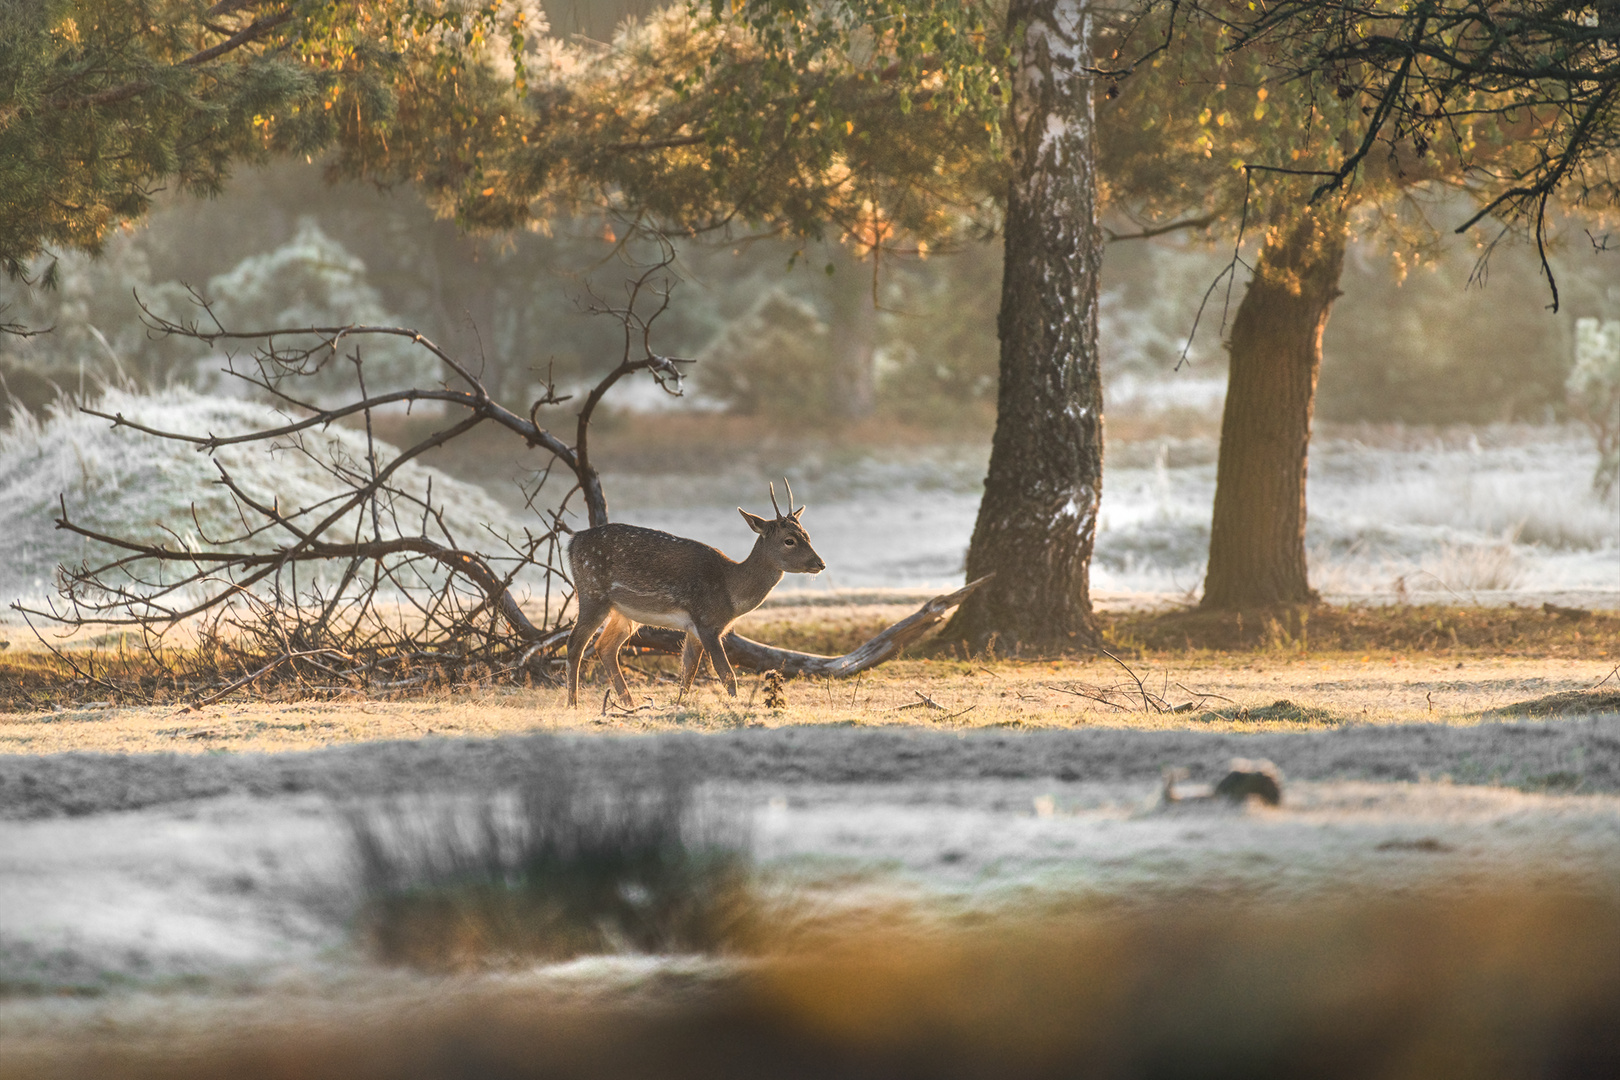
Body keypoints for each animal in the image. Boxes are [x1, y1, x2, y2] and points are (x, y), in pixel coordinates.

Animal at [567, 482, 822, 709]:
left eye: (808, 536)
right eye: (789, 540)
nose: (820, 563)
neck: (730, 591)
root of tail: (572, 542)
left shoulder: (694, 627)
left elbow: (687, 673)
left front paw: (679, 705)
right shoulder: (708, 622)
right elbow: (727, 675)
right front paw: (736, 707)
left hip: (624, 612)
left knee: (605, 646)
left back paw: (630, 704)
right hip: (592, 593)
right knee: (575, 643)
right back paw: (573, 704)